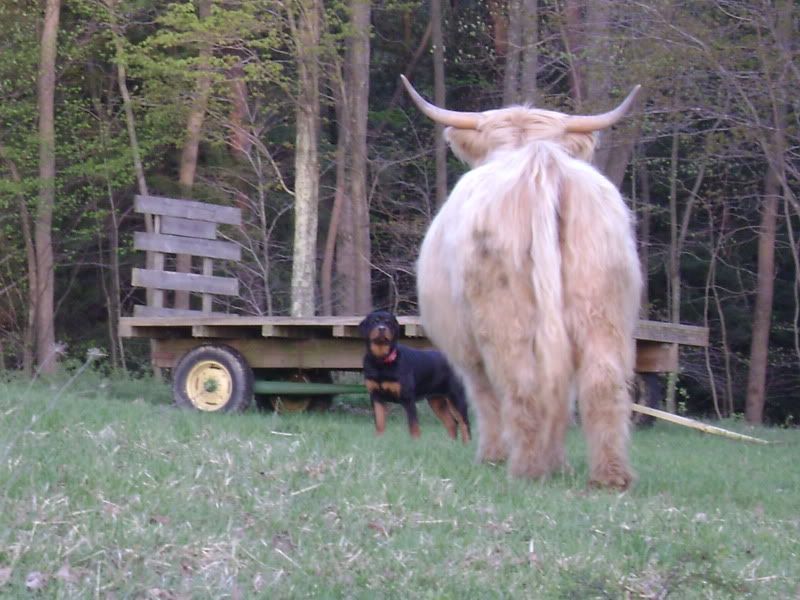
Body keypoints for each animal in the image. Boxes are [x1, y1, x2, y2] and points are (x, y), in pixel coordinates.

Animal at [402, 75, 643, 489]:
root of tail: (540, 162)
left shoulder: (467, 352)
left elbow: (484, 399)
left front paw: (492, 457)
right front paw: (559, 463)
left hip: (504, 314)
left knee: (521, 384)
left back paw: (525, 468)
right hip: (601, 305)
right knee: (601, 382)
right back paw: (609, 477)